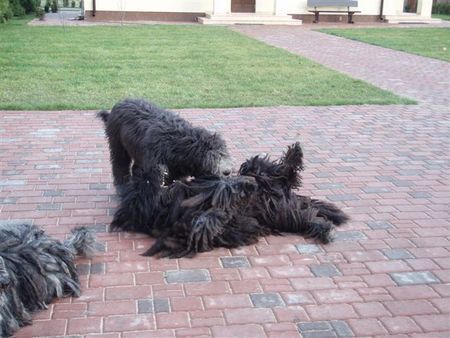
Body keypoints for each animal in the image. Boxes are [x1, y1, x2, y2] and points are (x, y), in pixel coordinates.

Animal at [110, 141, 350, 258]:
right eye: (145, 182)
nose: (152, 167)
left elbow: (223, 190)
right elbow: (214, 215)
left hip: (263, 178)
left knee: (269, 170)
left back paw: (292, 156)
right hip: (282, 214)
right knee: (303, 217)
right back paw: (324, 228)